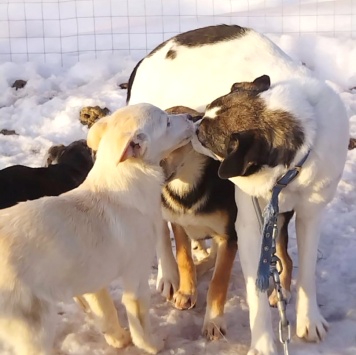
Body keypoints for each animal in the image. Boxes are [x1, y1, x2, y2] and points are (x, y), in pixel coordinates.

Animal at [0, 103, 193, 355]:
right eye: (167, 122)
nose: (191, 116)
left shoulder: (93, 282)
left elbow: (106, 313)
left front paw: (119, 340)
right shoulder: (136, 276)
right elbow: (140, 323)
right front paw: (151, 345)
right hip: (33, 327)